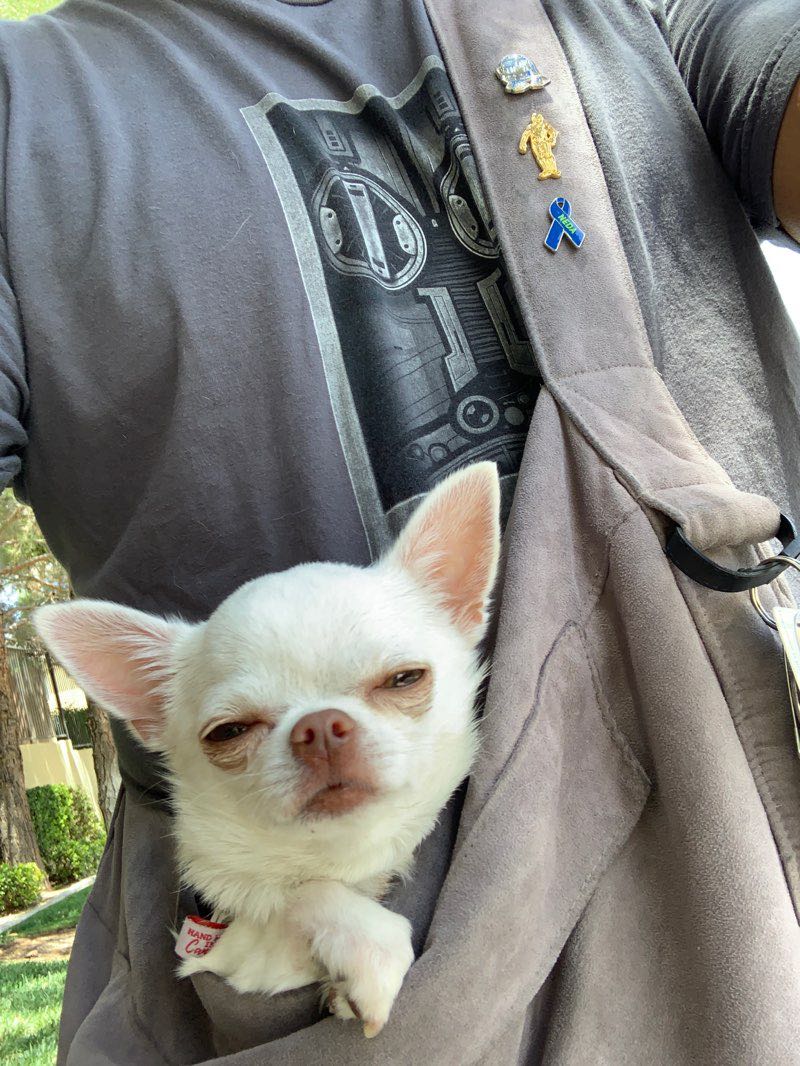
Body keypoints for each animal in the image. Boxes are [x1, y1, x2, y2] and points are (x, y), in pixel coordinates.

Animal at [35, 461, 501, 1037]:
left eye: (404, 678)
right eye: (229, 732)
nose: (320, 726)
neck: (347, 859)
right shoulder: (219, 959)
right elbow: (301, 895)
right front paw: (366, 954)